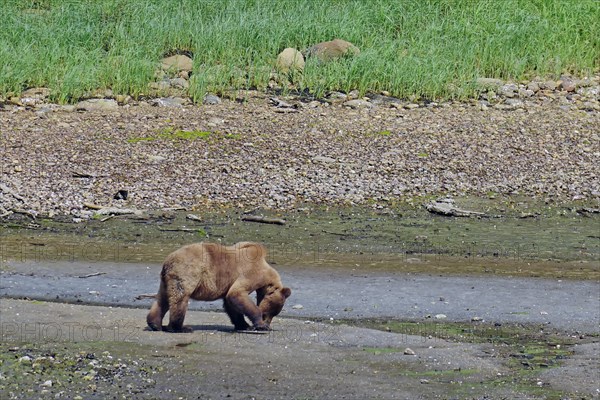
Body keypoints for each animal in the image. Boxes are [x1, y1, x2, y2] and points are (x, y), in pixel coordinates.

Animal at [145, 242, 290, 332]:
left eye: (273, 314)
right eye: (268, 313)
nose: (268, 323)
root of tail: (167, 262)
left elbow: (231, 303)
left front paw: (244, 325)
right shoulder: (251, 274)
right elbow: (237, 294)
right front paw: (259, 325)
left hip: (166, 281)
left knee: (162, 299)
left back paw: (155, 324)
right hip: (186, 273)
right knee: (179, 299)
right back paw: (181, 328)